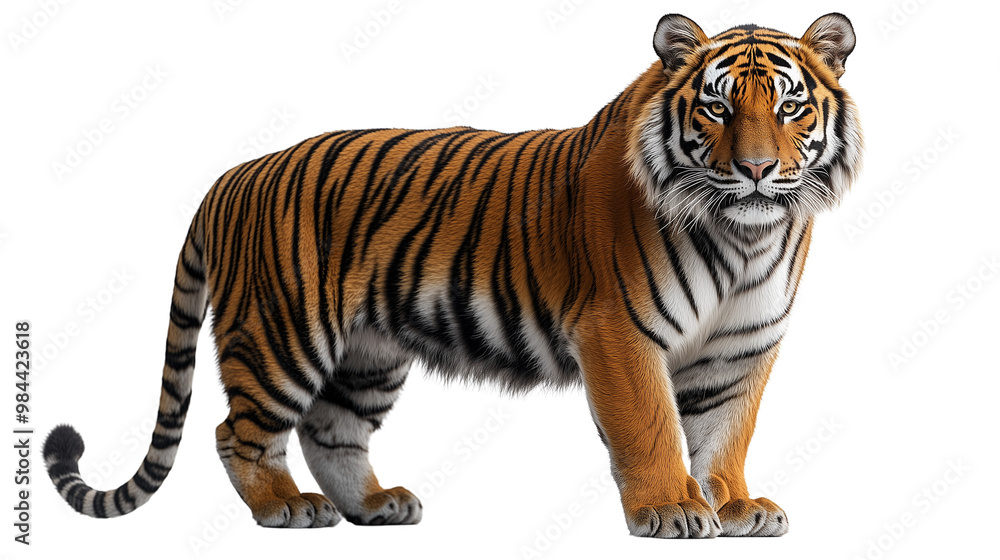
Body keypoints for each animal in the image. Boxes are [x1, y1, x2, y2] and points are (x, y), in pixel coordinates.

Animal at [44, 12, 862, 538]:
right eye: (718, 109)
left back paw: (376, 506)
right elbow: (652, 426)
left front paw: (736, 507)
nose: (756, 170)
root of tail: (235, 174)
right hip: (282, 334)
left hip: (367, 354)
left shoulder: (743, 348)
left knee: (331, 431)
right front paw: (670, 509)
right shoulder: (620, 333)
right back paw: (284, 507)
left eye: (790, 108)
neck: (745, 234)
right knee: (235, 430)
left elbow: (726, 433)